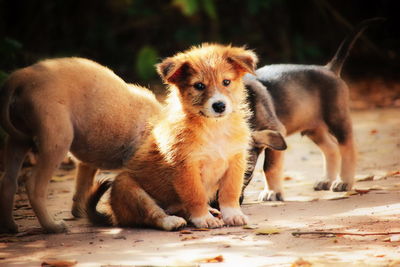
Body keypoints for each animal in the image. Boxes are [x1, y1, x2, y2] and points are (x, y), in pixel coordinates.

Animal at [0, 57, 162, 233]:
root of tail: (21, 76)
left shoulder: (88, 162)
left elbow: (82, 186)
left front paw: (80, 211)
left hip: (19, 139)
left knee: (8, 181)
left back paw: (10, 226)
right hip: (58, 140)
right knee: (34, 185)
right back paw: (53, 226)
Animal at [86, 43, 284, 230]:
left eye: (226, 82)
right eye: (199, 86)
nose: (219, 106)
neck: (214, 128)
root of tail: (115, 216)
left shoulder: (234, 161)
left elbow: (229, 193)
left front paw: (233, 215)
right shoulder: (186, 166)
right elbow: (195, 195)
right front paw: (203, 219)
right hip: (127, 187)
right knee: (153, 215)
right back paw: (173, 221)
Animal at [242, 18, 382, 201]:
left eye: (247, 173)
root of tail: (329, 69)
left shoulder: (275, 132)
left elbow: (269, 167)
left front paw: (272, 192)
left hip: (337, 118)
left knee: (348, 147)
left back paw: (343, 182)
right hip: (314, 129)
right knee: (331, 149)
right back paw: (326, 180)